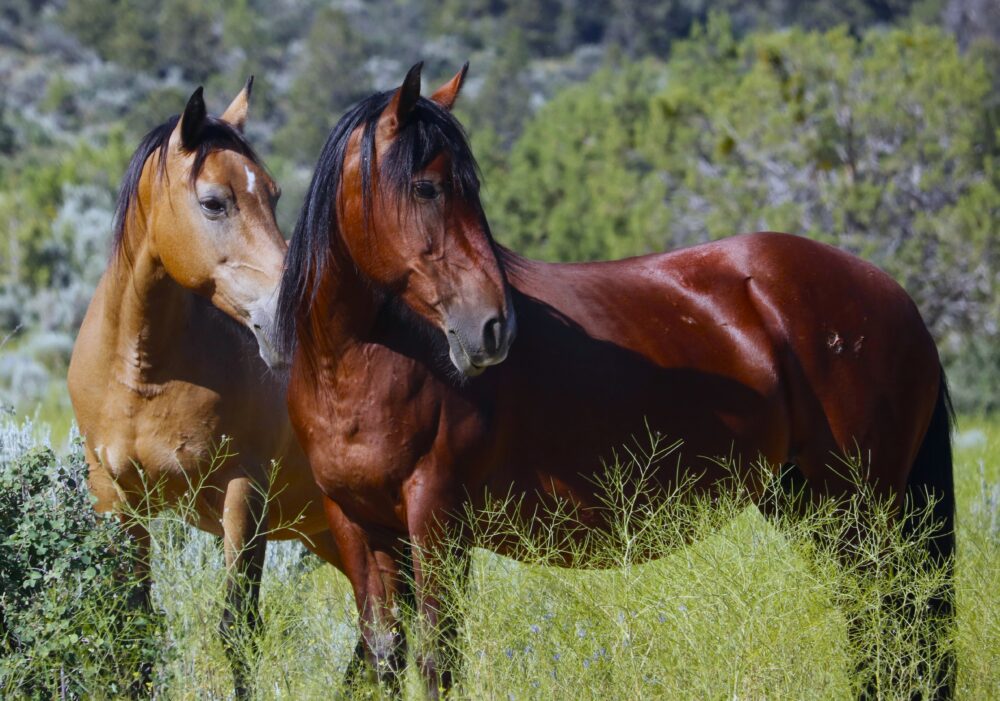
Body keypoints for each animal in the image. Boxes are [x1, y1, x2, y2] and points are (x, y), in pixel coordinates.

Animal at [68, 82, 344, 696]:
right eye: (215, 201)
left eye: (274, 194)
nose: (284, 319)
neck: (145, 375)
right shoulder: (116, 497)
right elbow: (133, 624)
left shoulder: (244, 493)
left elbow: (238, 630)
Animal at [278, 64, 956, 696]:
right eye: (426, 187)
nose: (494, 327)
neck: (365, 363)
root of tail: (893, 294)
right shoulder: (361, 528)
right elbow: (385, 660)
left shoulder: (438, 522)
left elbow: (438, 663)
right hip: (810, 505)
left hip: (862, 509)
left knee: (890, 628)